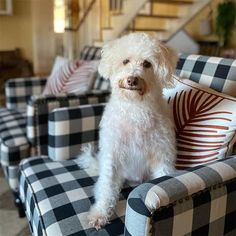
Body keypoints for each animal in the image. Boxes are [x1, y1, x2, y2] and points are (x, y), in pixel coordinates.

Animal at [78, 32, 178, 230]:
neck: (135, 108)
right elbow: (107, 188)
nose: (132, 79)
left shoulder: (162, 154)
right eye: (125, 61)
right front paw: (100, 214)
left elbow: (163, 176)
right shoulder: (112, 155)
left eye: (147, 64)